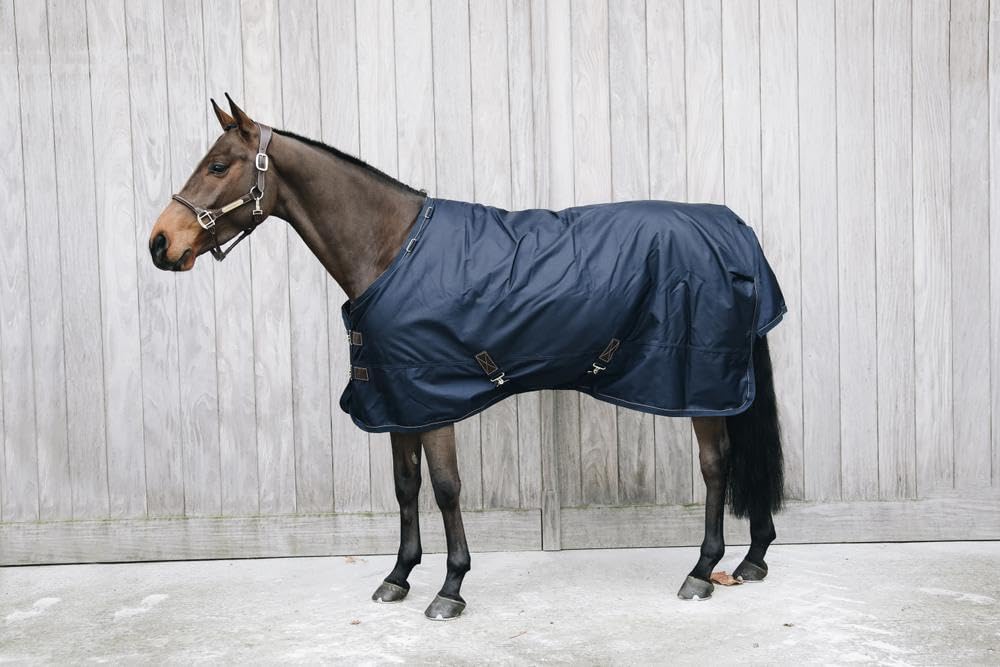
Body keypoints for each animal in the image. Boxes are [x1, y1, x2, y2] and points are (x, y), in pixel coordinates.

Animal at [149, 95, 784, 621]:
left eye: (218, 166)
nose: (160, 242)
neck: (393, 249)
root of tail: (735, 229)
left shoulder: (433, 399)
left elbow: (446, 488)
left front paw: (450, 588)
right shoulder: (395, 399)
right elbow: (406, 487)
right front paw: (398, 576)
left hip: (700, 384)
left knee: (717, 466)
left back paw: (702, 572)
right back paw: (751, 560)